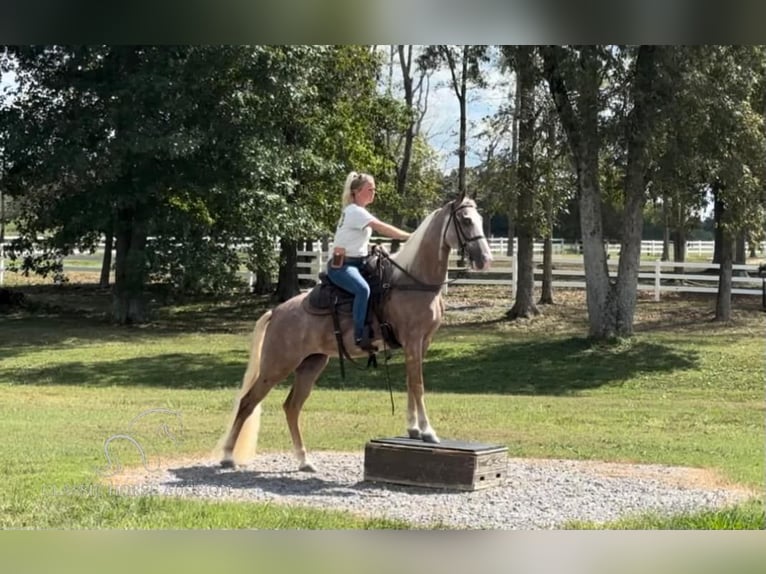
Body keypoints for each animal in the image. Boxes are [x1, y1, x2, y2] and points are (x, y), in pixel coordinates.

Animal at [218, 196, 492, 470]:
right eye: (466, 220)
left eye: (479, 219)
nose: (485, 259)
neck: (413, 282)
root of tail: (276, 312)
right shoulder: (413, 340)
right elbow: (418, 384)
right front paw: (427, 432)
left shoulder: (421, 343)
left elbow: (411, 383)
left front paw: (413, 429)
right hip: (277, 366)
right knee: (247, 402)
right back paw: (228, 456)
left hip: (311, 364)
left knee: (292, 407)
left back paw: (304, 460)